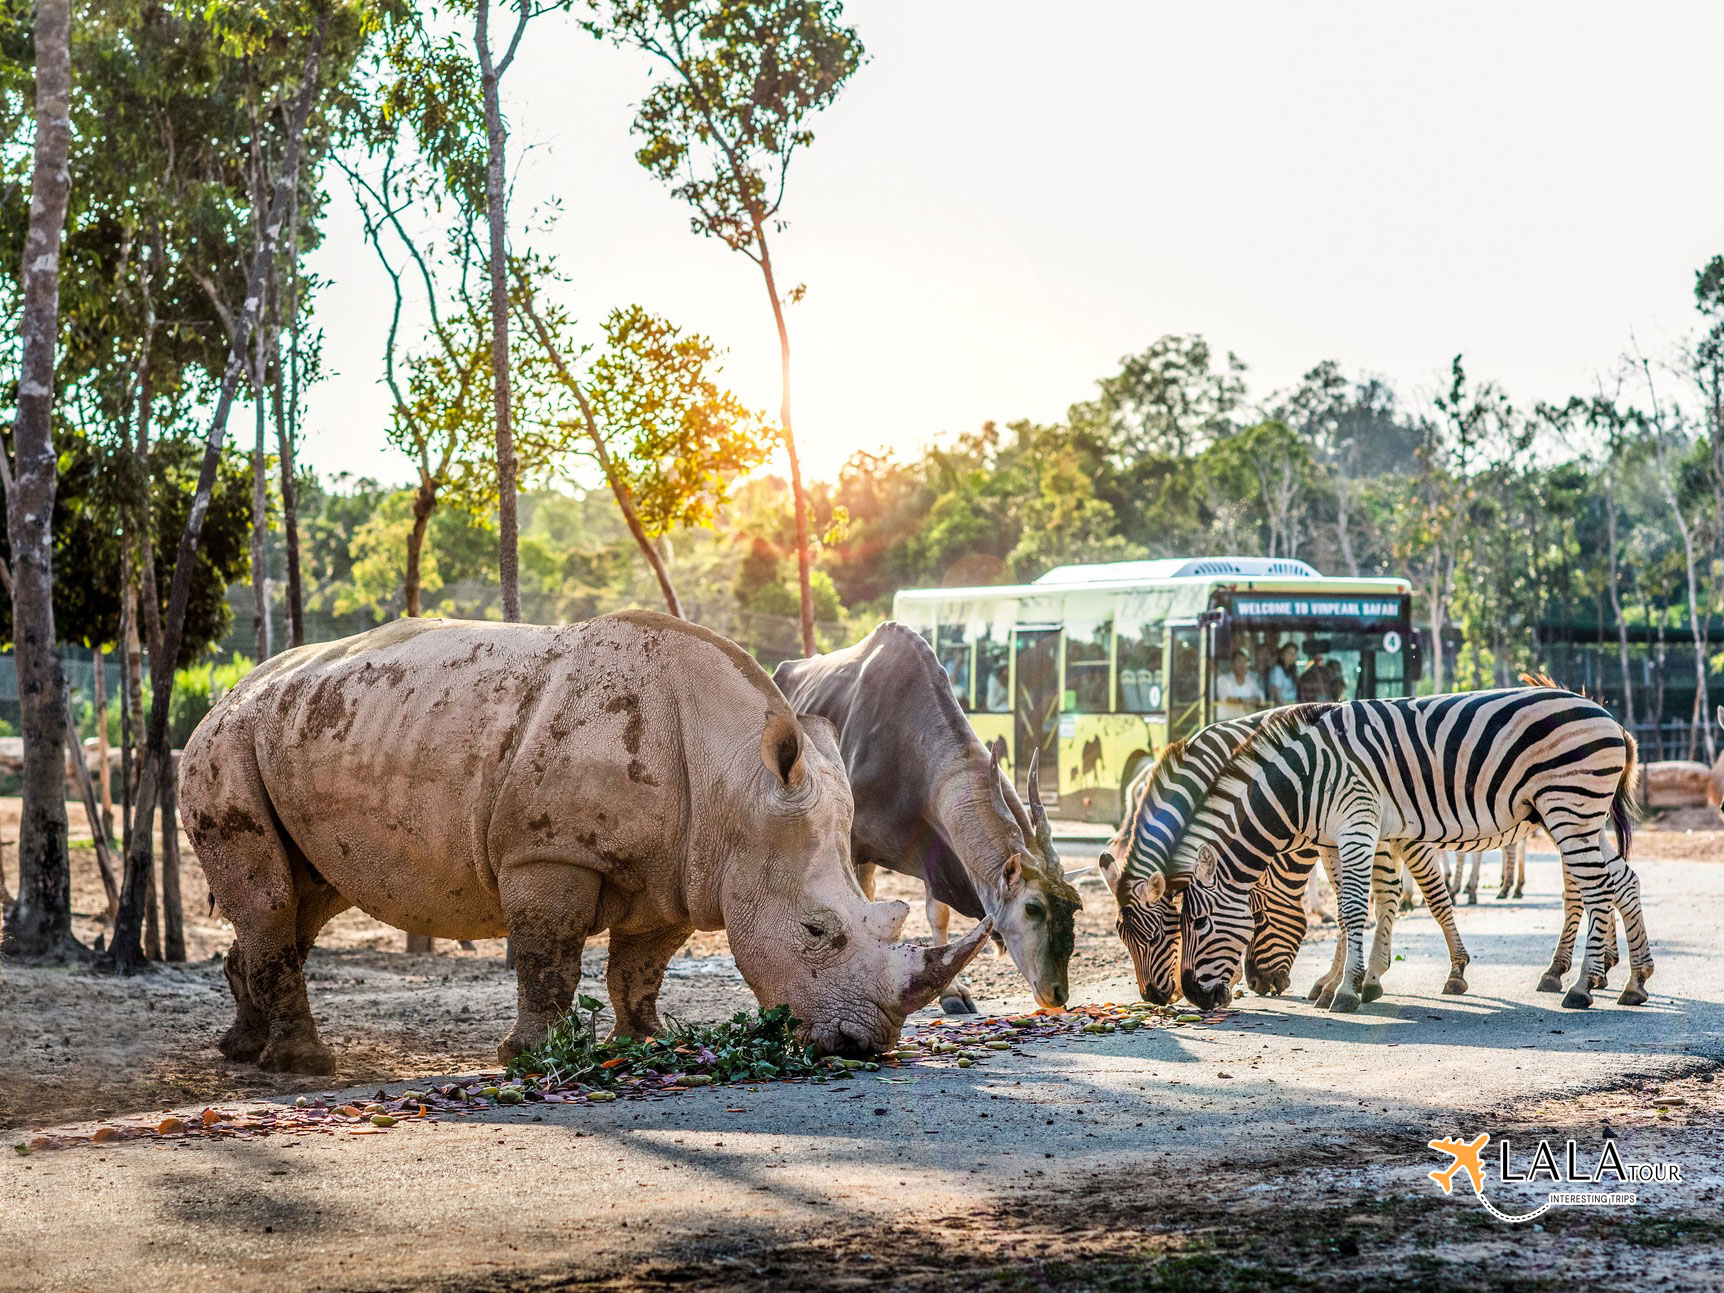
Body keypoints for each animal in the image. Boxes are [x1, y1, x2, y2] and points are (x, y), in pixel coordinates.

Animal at [1110, 693, 1648, 1020]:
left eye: (1191, 925)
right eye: (1124, 936)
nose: (1180, 996)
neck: (1299, 784)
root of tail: (1610, 718)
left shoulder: (1358, 826)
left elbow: (1362, 907)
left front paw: (1349, 990)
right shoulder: (1342, 835)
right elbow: (1363, 905)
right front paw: (1351, 981)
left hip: (1569, 809)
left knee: (1594, 887)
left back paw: (1582, 983)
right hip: (1578, 814)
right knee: (1620, 880)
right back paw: (1631, 979)